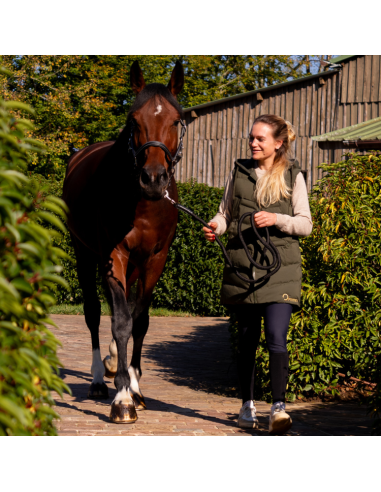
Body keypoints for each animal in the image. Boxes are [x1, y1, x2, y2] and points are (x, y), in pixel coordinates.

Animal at [63, 60, 185, 422]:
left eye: (177, 120)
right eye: (134, 120)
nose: (153, 179)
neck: (143, 204)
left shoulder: (155, 259)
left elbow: (139, 321)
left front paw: (135, 385)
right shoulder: (113, 254)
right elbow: (120, 322)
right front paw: (122, 398)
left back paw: (115, 362)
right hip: (84, 253)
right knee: (93, 312)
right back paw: (97, 380)